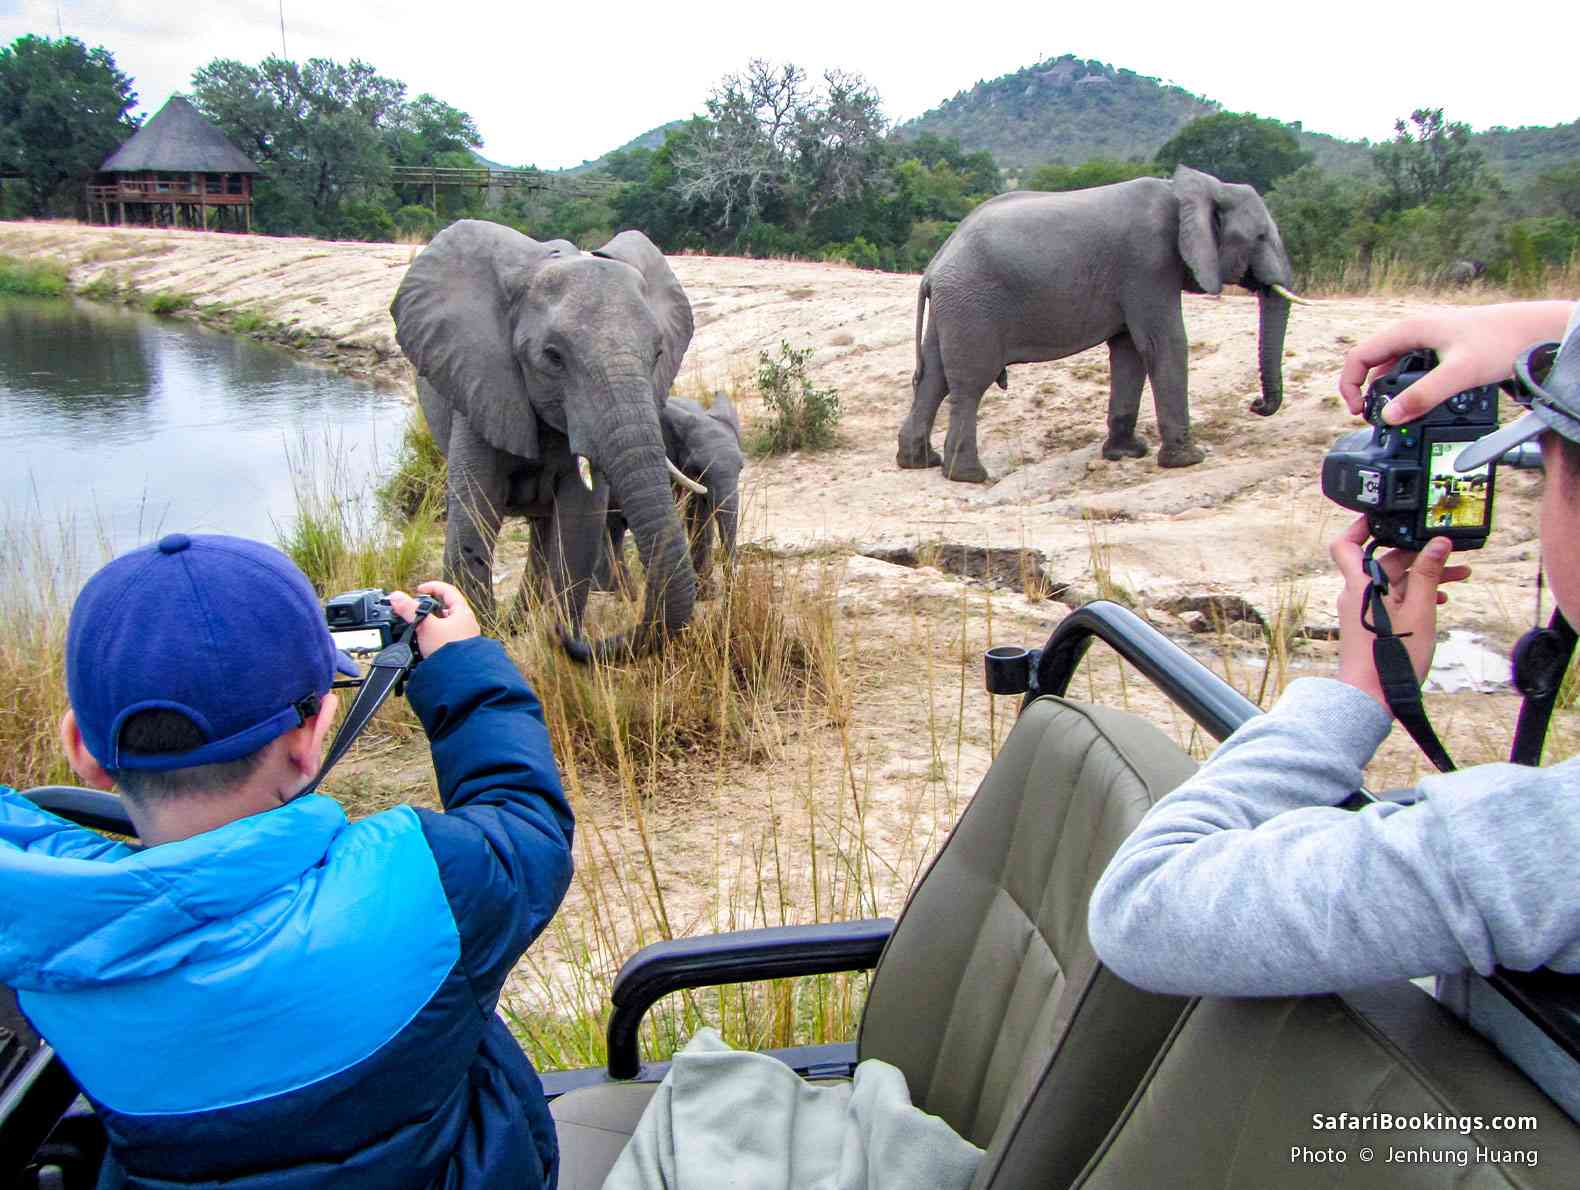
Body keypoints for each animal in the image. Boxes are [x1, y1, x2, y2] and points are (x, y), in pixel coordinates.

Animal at [390, 219, 698, 662]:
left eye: (658, 354)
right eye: (553, 357)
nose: (567, 636)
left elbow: (578, 521)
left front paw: (553, 632)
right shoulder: (481, 378)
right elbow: (474, 516)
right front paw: (484, 632)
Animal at [603, 393, 743, 597]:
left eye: (741, 467)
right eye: (698, 468)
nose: (731, 596)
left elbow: (699, 514)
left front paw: (706, 593)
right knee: (613, 528)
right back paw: (626, 593)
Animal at [896, 165, 1305, 482]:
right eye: (1260, 236)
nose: (1256, 404)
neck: (1195, 188)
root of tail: (934, 266)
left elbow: (1129, 351)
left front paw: (1126, 454)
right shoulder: (1149, 262)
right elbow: (1164, 343)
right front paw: (1189, 460)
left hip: (954, 306)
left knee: (934, 377)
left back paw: (920, 463)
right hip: (972, 304)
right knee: (969, 383)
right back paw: (968, 476)